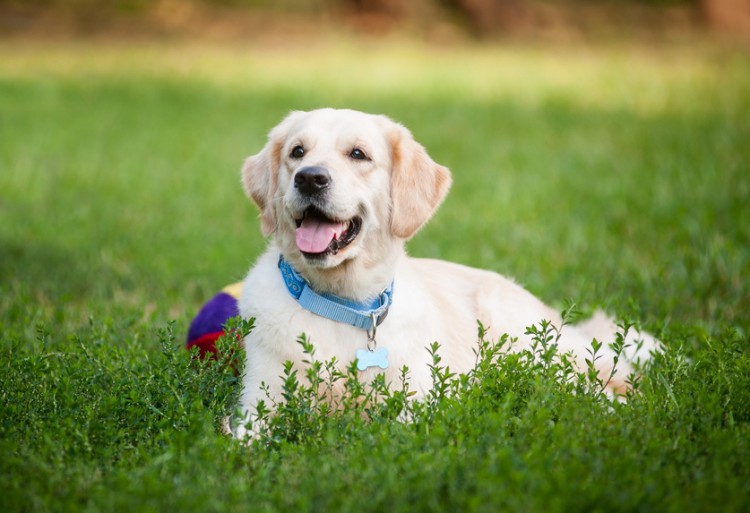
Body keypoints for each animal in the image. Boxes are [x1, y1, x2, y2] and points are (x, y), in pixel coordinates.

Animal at [234, 108, 656, 436]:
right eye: (297, 152)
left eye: (358, 154)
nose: (309, 177)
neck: (342, 304)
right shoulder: (259, 400)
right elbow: (246, 438)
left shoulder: (422, 400)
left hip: (530, 343)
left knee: (603, 384)